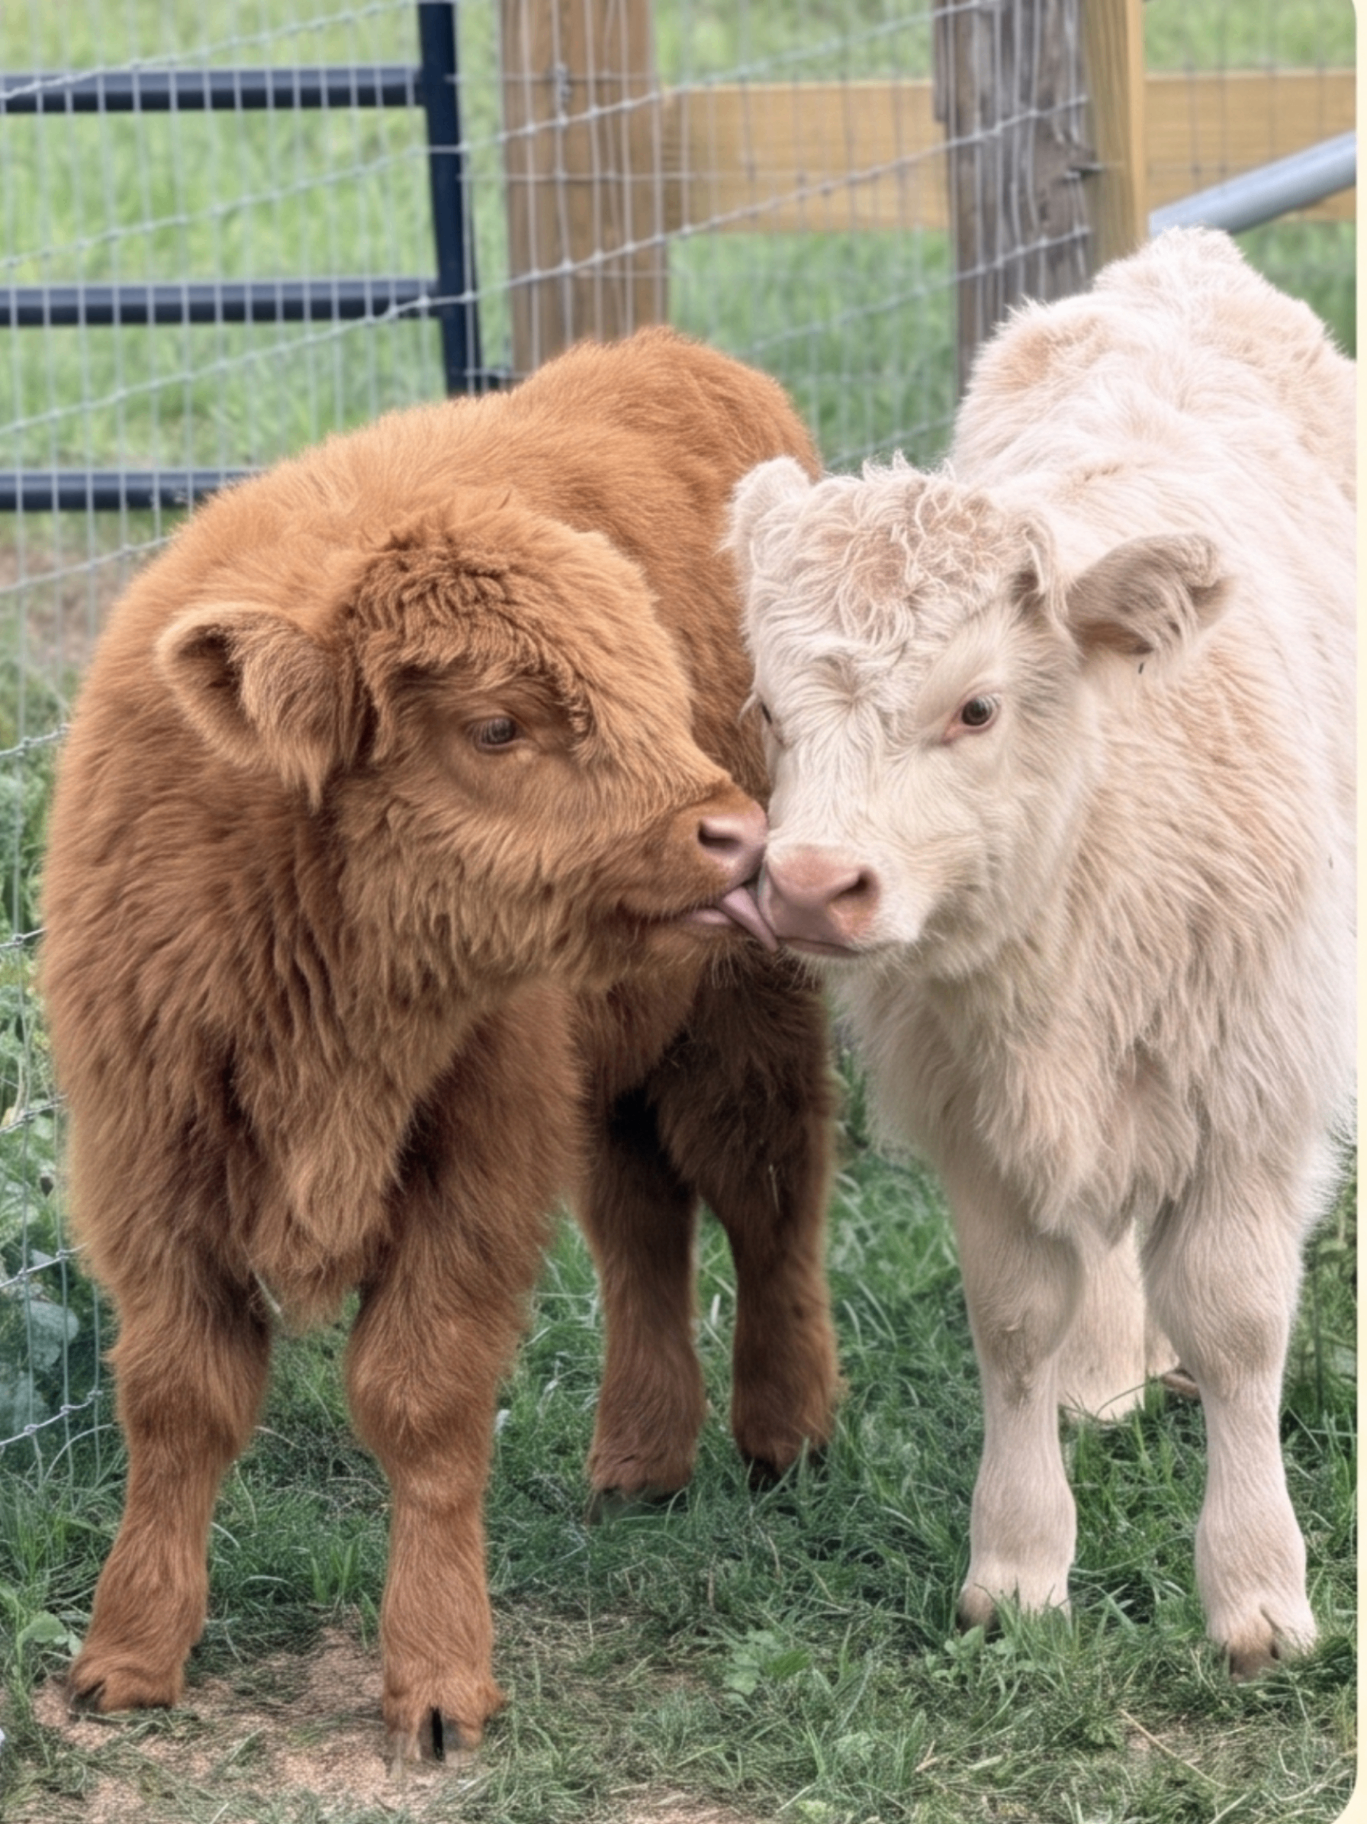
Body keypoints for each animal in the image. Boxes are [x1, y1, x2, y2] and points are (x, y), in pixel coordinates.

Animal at [39, 327, 843, 1762]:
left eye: (649, 689)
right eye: (495, 725)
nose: (730, 835)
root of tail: (673, 355)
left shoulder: (474, 1163)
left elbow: (420, 1400)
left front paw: (434, 1682)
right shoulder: (150, 1170)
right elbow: (179, 1398)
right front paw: (128, 1656)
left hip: (743, 1014)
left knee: (766, 1196)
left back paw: (781, 1436)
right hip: (614, 1060)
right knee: (642, 1220)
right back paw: (639, 1463)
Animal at [727, 230, 1354, 1675]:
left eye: (974, 707)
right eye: (767, 712)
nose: (807, 886)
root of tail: (1180, 255)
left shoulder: (1251, 1095)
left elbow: (1238, 1328)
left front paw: (1257, 1594)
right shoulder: (979, 1121)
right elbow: (1012, 1320)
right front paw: (1014, 1570)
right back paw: (1106, 1375)